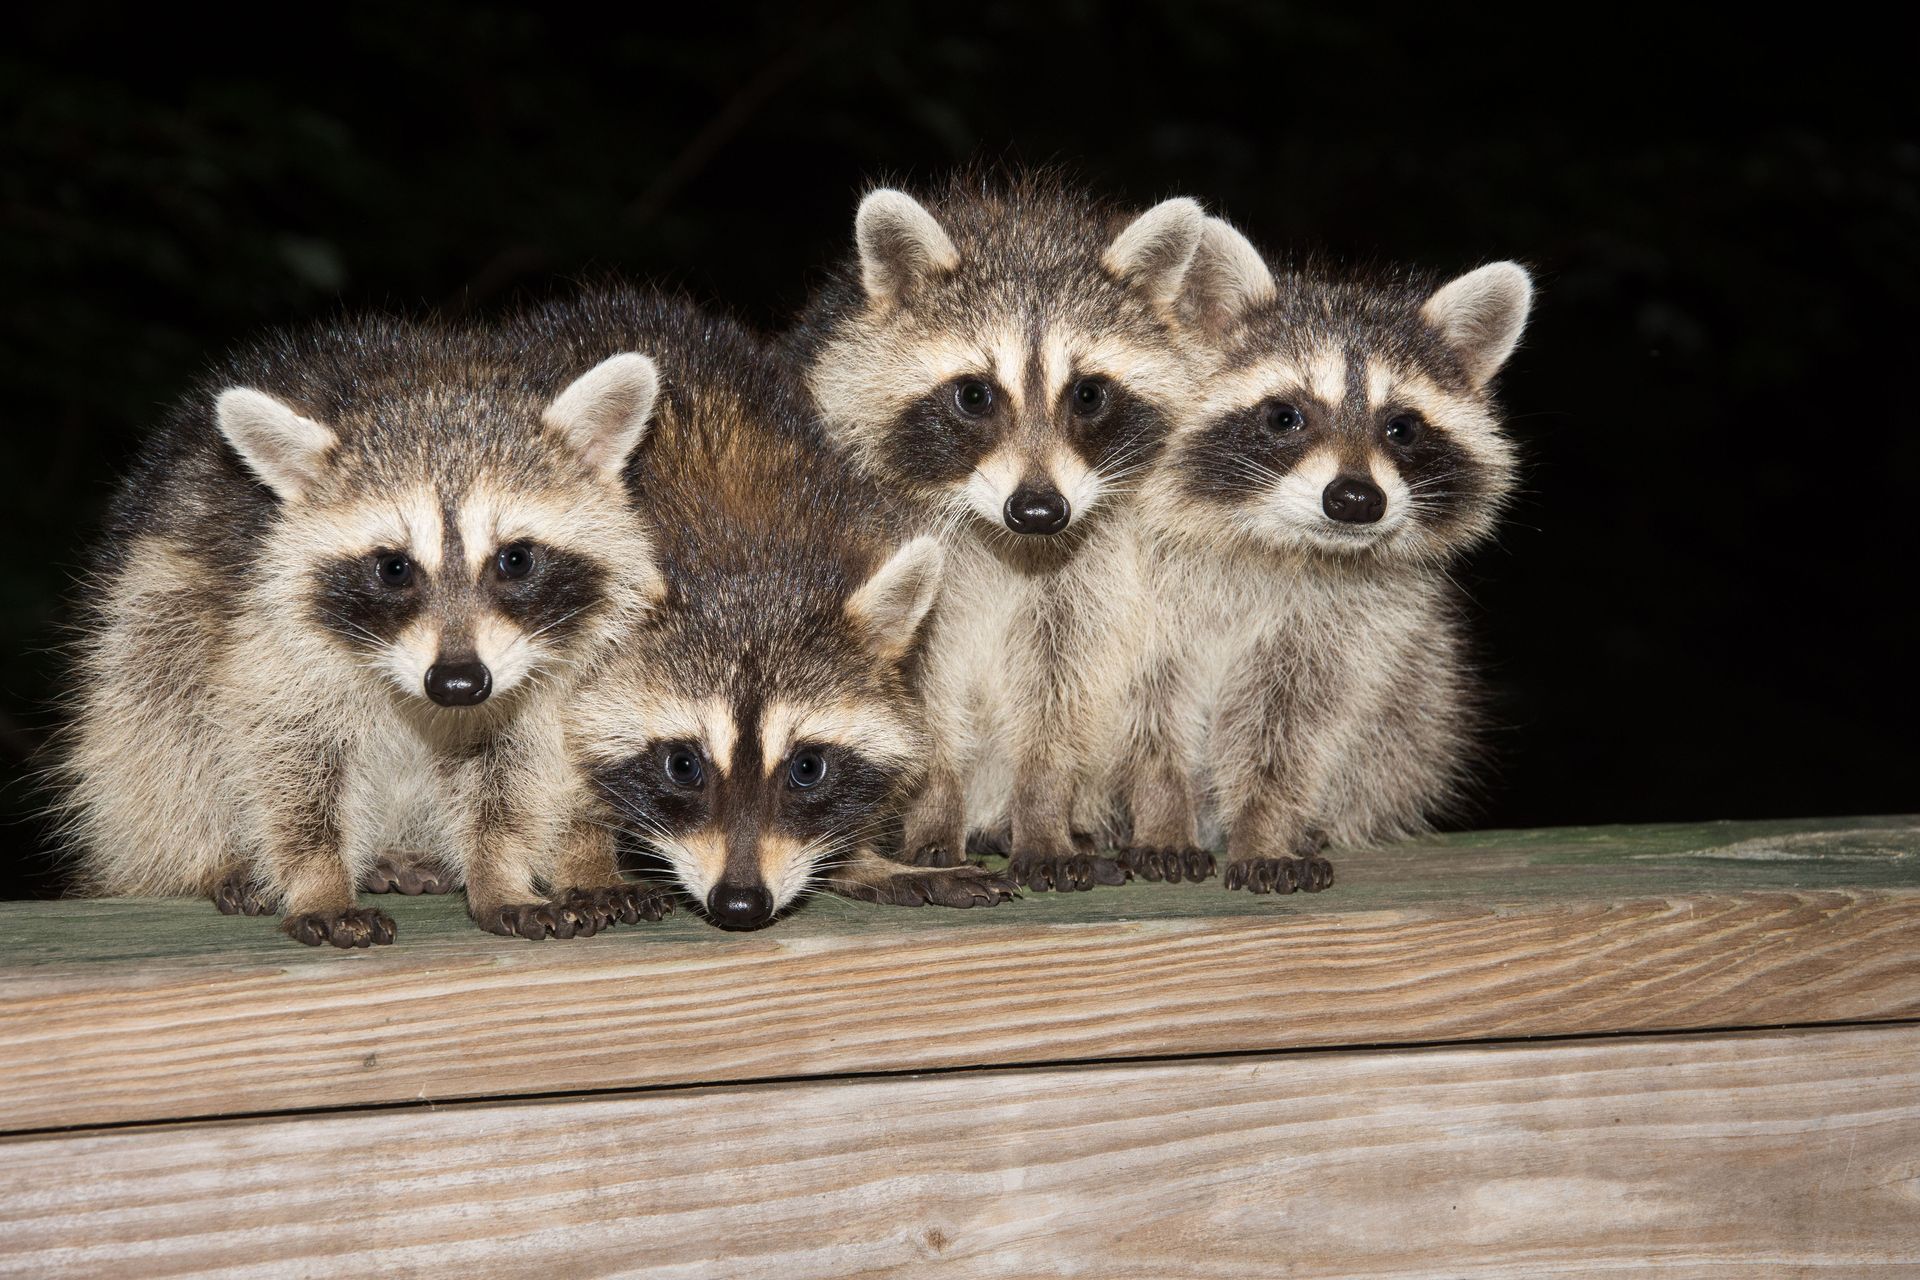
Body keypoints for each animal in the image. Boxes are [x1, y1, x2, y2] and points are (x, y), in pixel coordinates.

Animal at [57, 314, 672, 945]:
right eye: (393, 568)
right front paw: (318, 879)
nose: (457, 684)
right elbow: (286, 757)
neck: (432, 386)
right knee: (162, 725)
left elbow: (513, 770)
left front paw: (500, 870)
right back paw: (209, 858)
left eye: (516, 559)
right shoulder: (265, 633)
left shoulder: (537, 675)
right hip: (151, 611)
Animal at [522, 288, 1016, 930]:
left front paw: (862, 859)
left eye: (808, 768)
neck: (749, 552)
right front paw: (584, 858)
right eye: (682, 765)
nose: (739, 904)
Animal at [788, 172, 1210, 892]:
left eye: (1089, 394)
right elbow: (918, 693)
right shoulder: (896, 544)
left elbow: (1060, 688)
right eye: (975, 395)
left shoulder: (1093, 567)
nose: (1038, 511)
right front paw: (934, 815)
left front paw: (1043, 815)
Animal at [1124, 220, 1532, 892]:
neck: (1285, 547)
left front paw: (1265, 825)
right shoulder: (1136, 583)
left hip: (1418, 706)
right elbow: (1145, 709)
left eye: (1402, 427)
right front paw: (1161, 811)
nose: (1356, 500)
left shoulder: (1343, 630)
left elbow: (1294, 730)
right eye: (1286, 416)